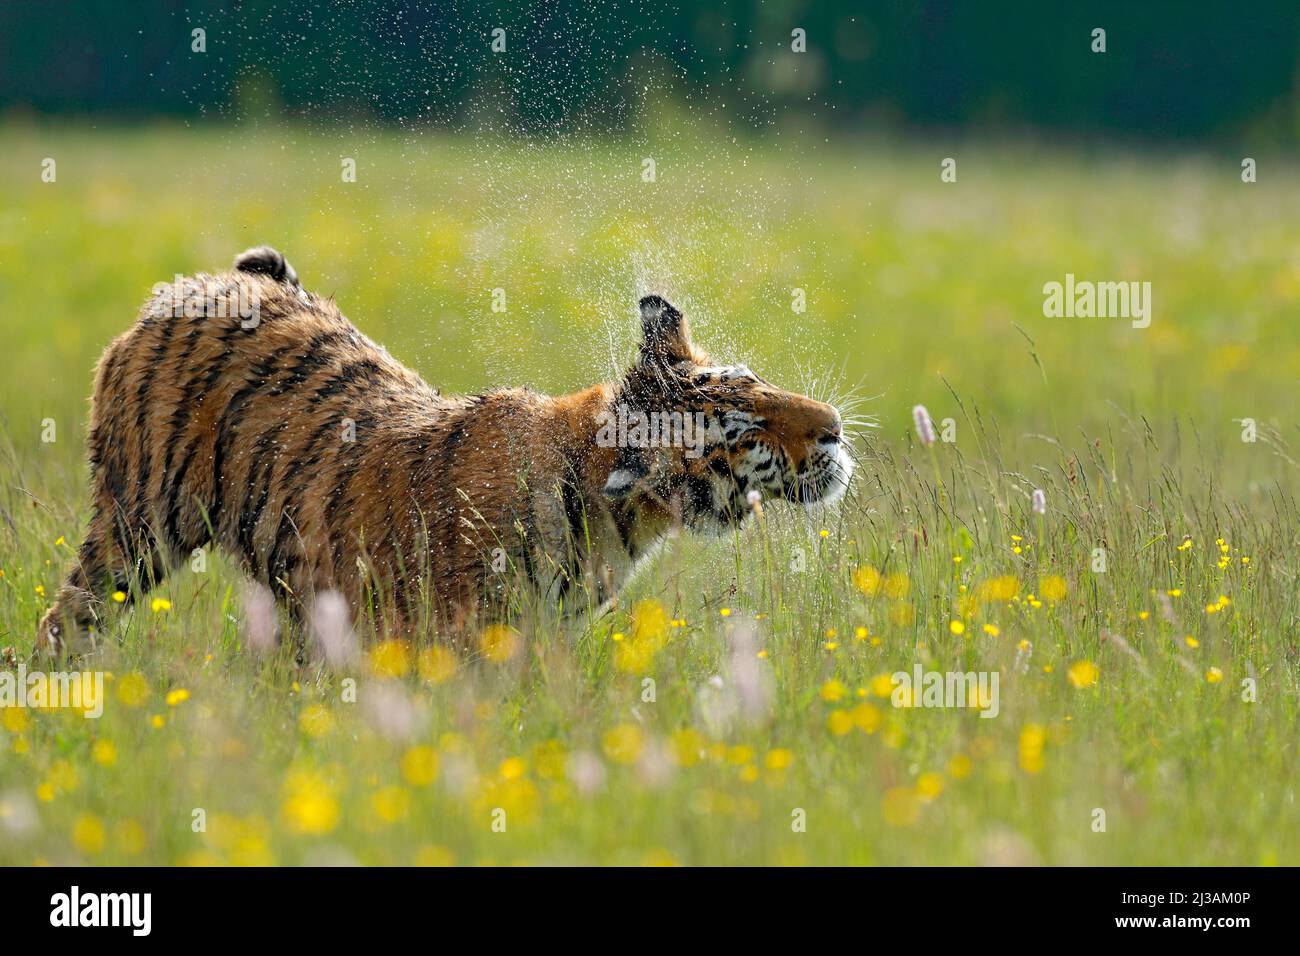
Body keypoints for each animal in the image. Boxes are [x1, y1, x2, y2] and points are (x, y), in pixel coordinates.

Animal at [35, 247, 852, 657]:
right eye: (741, 430)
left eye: (756, 381)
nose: (835, 427)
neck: (619, 526)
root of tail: (190, 285)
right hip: (136, 530)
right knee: (64, 621)